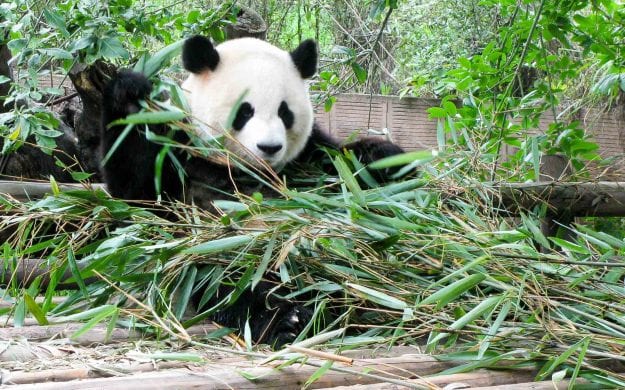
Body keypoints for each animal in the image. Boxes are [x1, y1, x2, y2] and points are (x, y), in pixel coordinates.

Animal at [100, 35, 402, 348]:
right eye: (245, 111)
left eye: (284, 112)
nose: (269, 147)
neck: (249, 172)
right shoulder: (180, 156)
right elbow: (141, 197)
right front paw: (130, 96)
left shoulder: (308, 159)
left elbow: (344, 164)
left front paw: (386, 160)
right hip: (223, 257)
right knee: (233, 282)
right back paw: (290, 319)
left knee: (352, 274)